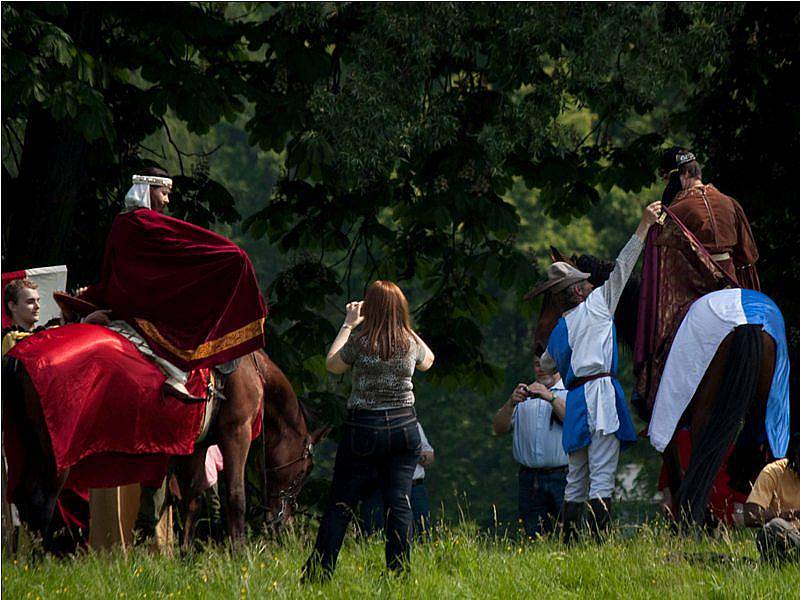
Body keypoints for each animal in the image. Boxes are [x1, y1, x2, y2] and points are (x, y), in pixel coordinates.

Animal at [5, 344, 324, 552]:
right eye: (306, 469)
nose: (283, 520)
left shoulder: (197, 447)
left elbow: (192, 500)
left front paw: (185, 555)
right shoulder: (236, 434)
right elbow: (235, 497)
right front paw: (239, 554)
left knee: (24, 502)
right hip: (56, 459)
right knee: (40, 503)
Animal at [532, 251, 780, 528]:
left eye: (553, 297)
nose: (540, 346)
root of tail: (743, 323)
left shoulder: (664, 422)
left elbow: (676, 471)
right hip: (762, 407)